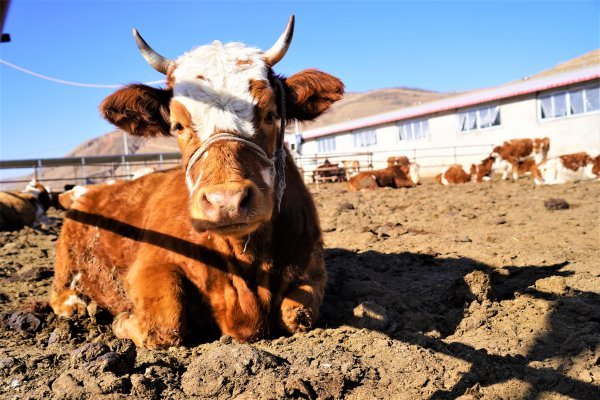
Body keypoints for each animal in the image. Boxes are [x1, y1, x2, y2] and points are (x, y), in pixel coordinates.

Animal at [49, 15, 344, 346]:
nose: (226, 202)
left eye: (270, 114)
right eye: (177, 125)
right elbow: (166, 322)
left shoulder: (312, 267)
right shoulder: (150, 266)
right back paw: (77, 304)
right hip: (65, 262)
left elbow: (296, 314)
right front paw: (123, 319)